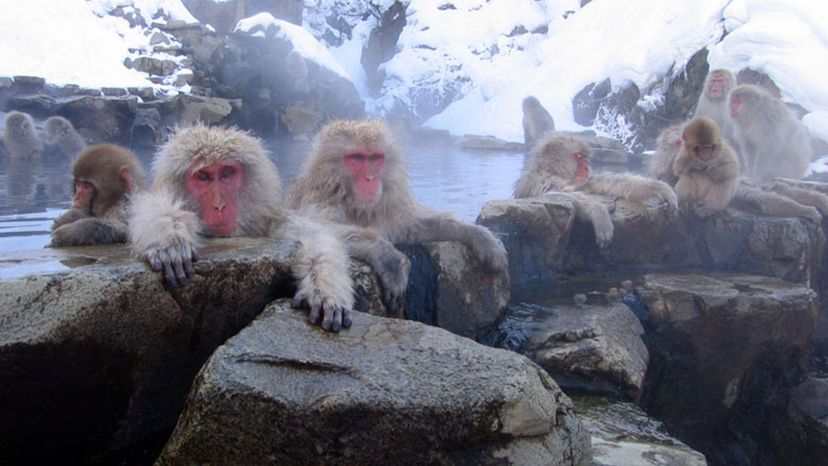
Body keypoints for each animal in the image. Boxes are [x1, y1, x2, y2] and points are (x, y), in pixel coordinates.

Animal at [129, 125, 355, 332]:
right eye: (203, 176)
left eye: (226, 173)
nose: (219, 205)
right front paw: (170, 238)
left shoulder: (271, 222)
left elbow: (315, 237)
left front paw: (325, 291)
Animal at [288, 119, 509, 308]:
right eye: (357, 158)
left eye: (375, 158)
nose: (370, 178)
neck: (355, 205)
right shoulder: (320, 202)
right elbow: (313, 228)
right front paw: (391, 259)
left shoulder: (387, 208)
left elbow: (411, 227)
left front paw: (479, 235)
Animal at [513, 132, 678, 247]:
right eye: (579, 156)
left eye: (585, 157)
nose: (587, 167)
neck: (554, 171)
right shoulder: (543, 180)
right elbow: (558, 193)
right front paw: (598, 212)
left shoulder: (584, 181)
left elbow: (609, 183)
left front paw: (661, 188)